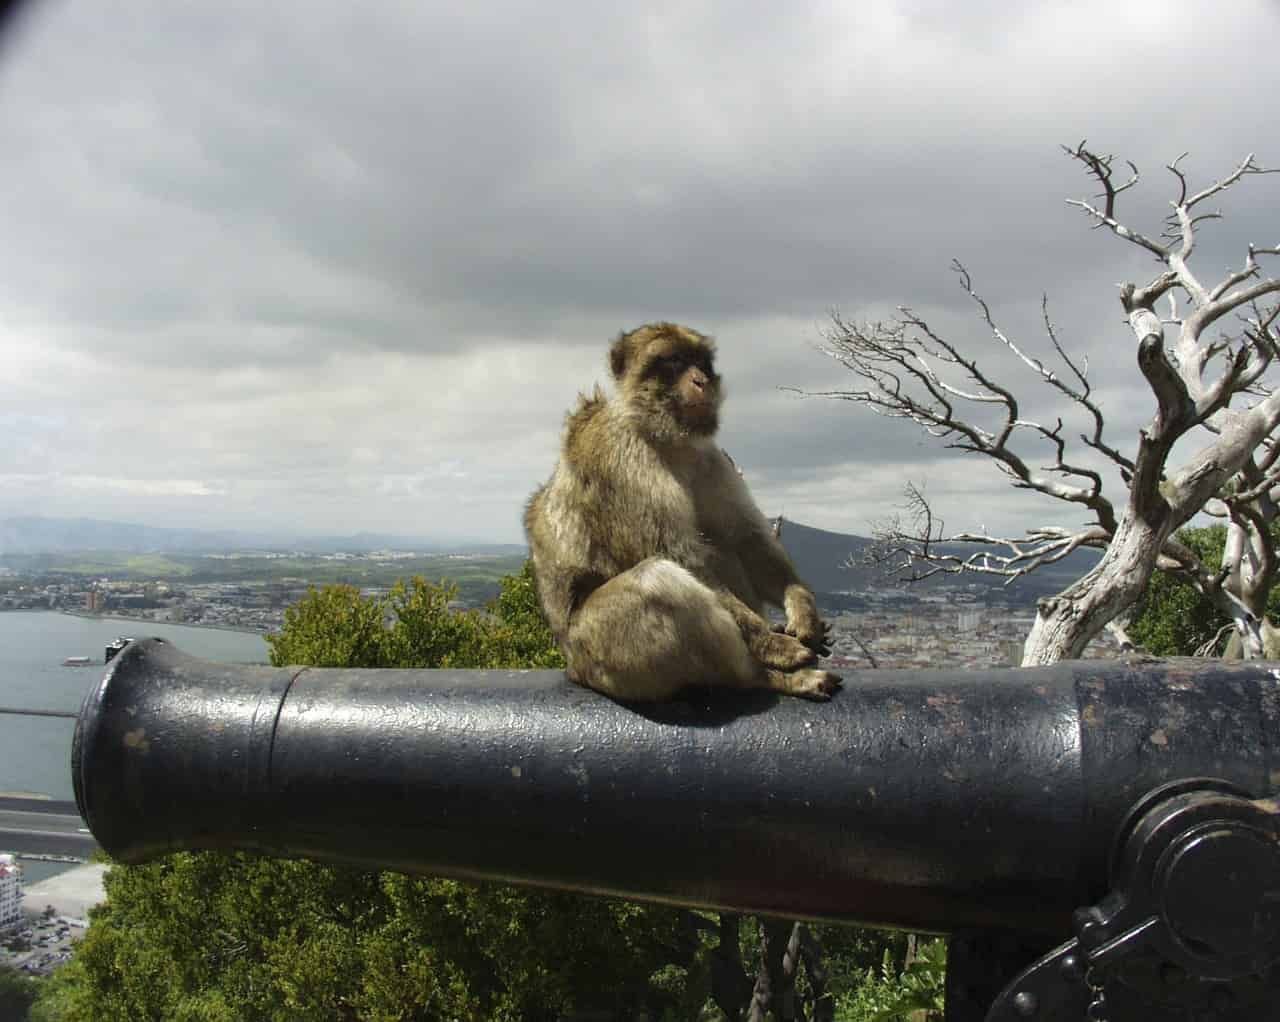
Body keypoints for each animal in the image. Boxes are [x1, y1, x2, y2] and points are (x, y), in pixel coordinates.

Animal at [524, 322, 841, 702]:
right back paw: (765, 677)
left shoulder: (711, 458)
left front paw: (804, 612)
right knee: (657, 580)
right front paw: (774, 644)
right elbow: (678, 554)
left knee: (722, 545)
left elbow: (746, 538)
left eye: (700, 361)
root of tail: (573, 668)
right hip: (603, 655)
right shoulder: (620, 455)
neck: (664, 437)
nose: (702, 380)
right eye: (673, 361)